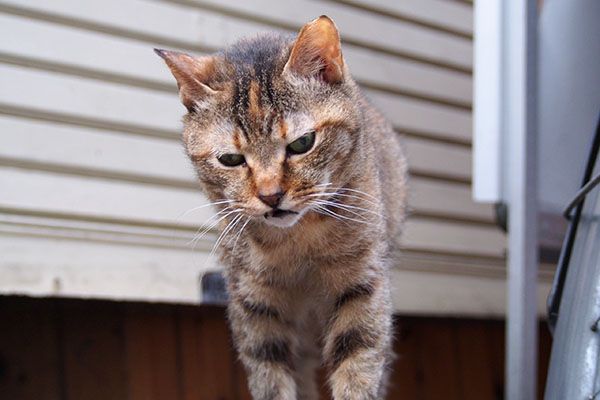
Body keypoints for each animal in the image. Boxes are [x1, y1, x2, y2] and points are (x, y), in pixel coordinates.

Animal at [155, 14, 408, 398]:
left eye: (303, 143)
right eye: (230, 159)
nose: (271, 195)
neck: (297, 244)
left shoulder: (361, 285)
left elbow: (358, 363)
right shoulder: (254, 303)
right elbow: (271, 377)